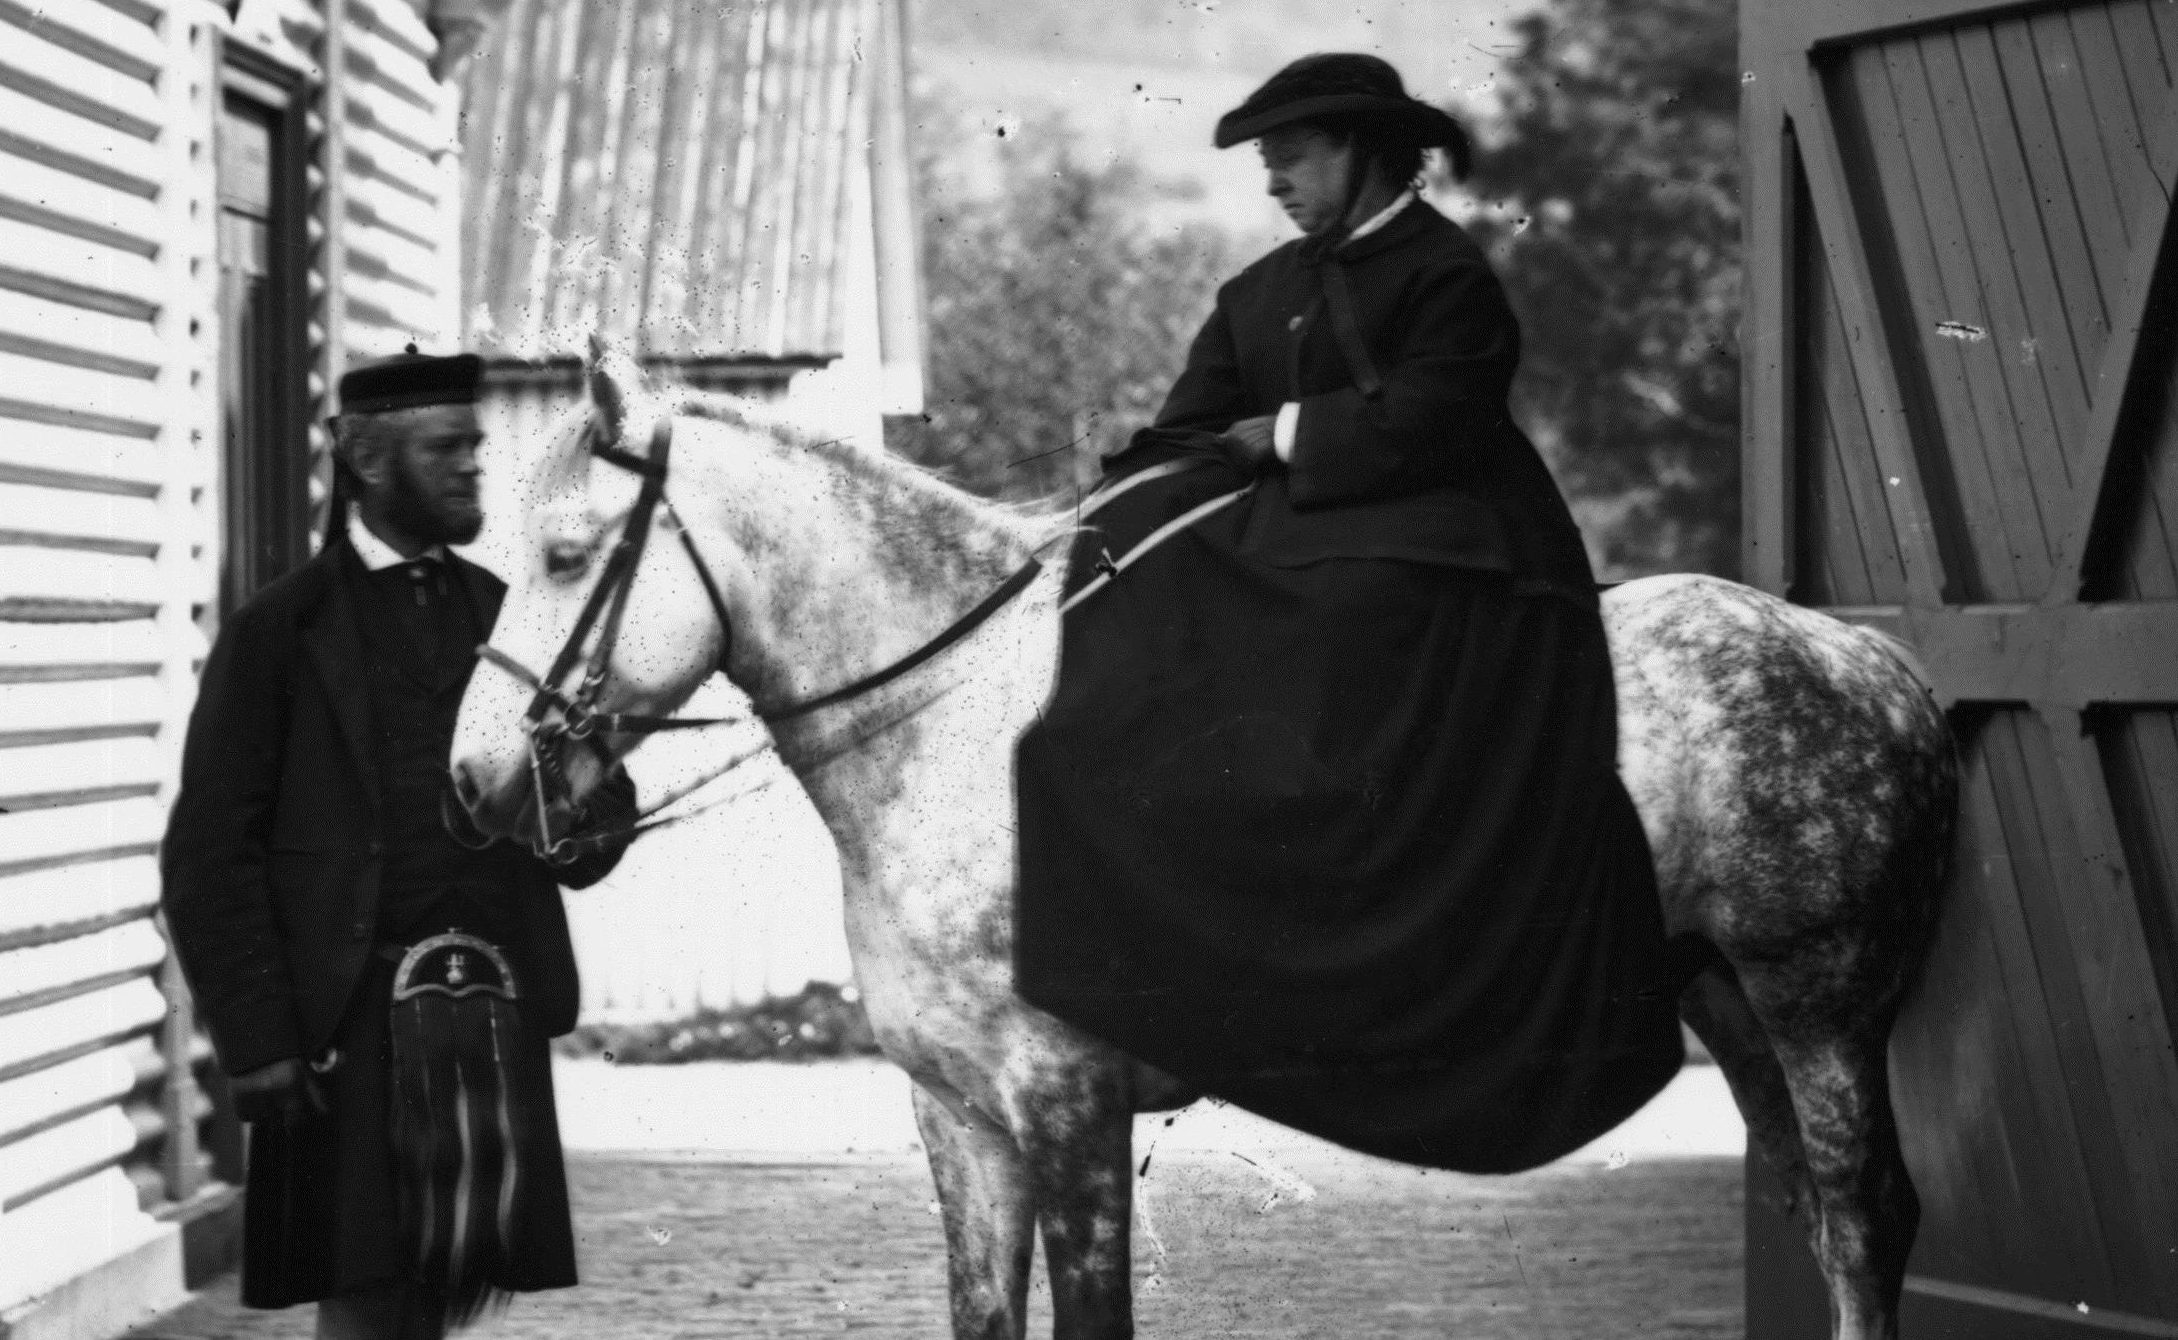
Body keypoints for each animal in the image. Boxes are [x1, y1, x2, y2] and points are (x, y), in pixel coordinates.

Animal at [455, 352, 1960, 1340]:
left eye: (571, 553)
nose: (477, 782)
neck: (955, 728)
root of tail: (1864, 660)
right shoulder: (960, 1118)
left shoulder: (1067, 1108)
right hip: (1731, 1003)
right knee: (1818, 1212)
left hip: (1817, 1005)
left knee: (1866, 1212)